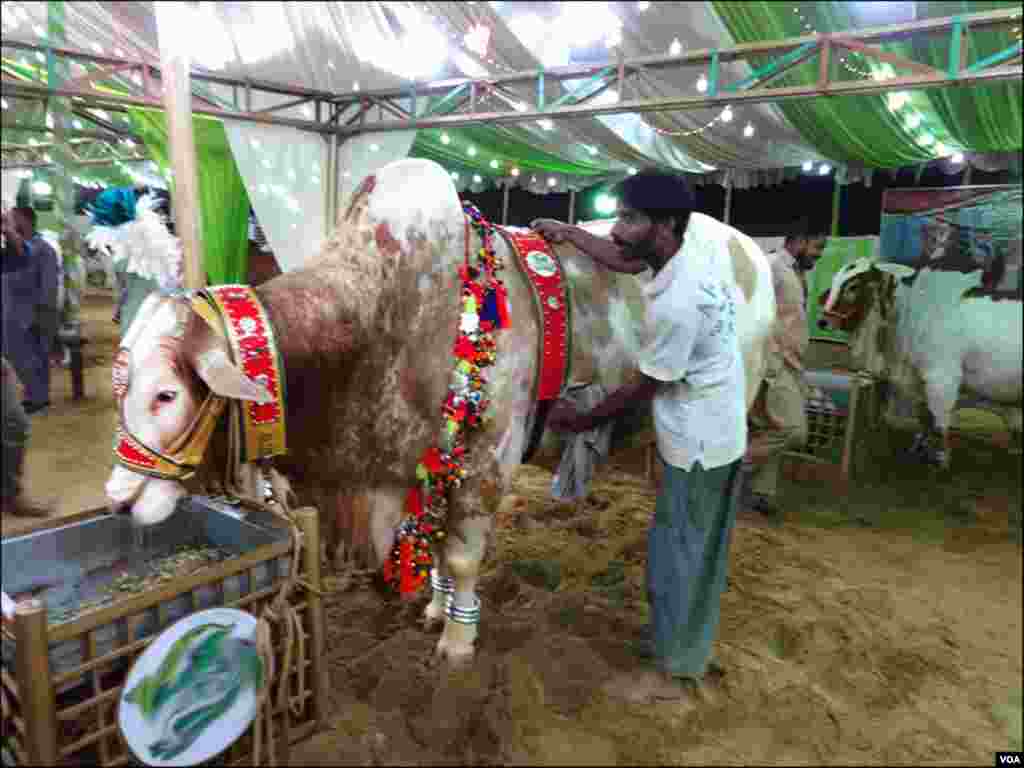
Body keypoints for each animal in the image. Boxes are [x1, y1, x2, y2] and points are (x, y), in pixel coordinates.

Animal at [105, 159, 774, 663]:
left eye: (166, 394)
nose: (117, 498)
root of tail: (750, 249)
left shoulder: (488, 461)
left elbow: (461, 553)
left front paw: (457, 641)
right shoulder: (414, 466)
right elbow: (431, 551)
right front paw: (433, 607)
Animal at [819, 259, 1019, 468]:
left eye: (853, 286)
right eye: (834, 280)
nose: (822, 321)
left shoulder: (942, 379)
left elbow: (940, 423)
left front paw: (941, 459)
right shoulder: (918, 380)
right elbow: (924, 417)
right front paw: (920, 447)